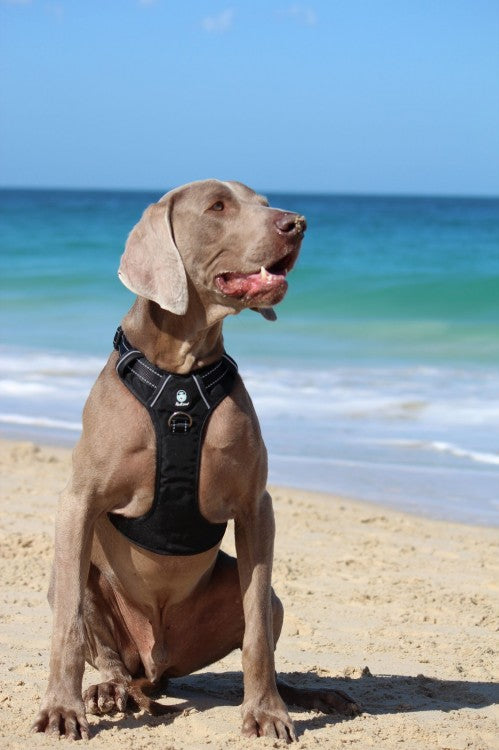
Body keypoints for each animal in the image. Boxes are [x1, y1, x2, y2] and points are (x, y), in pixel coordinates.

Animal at [33, 179, 360, 744]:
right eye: (218, 207)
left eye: (262, 201)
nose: (296, 223)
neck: (181, 379)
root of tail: (157, 661)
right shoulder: (78, 501)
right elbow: (68, 627)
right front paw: (61, 707)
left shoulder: (256, 506)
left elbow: (256, 633)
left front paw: (266, 712)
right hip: (84, 583)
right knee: (104, 647)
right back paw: (108, 691)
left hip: (260, 597)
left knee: (263, 619)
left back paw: (312, 695)